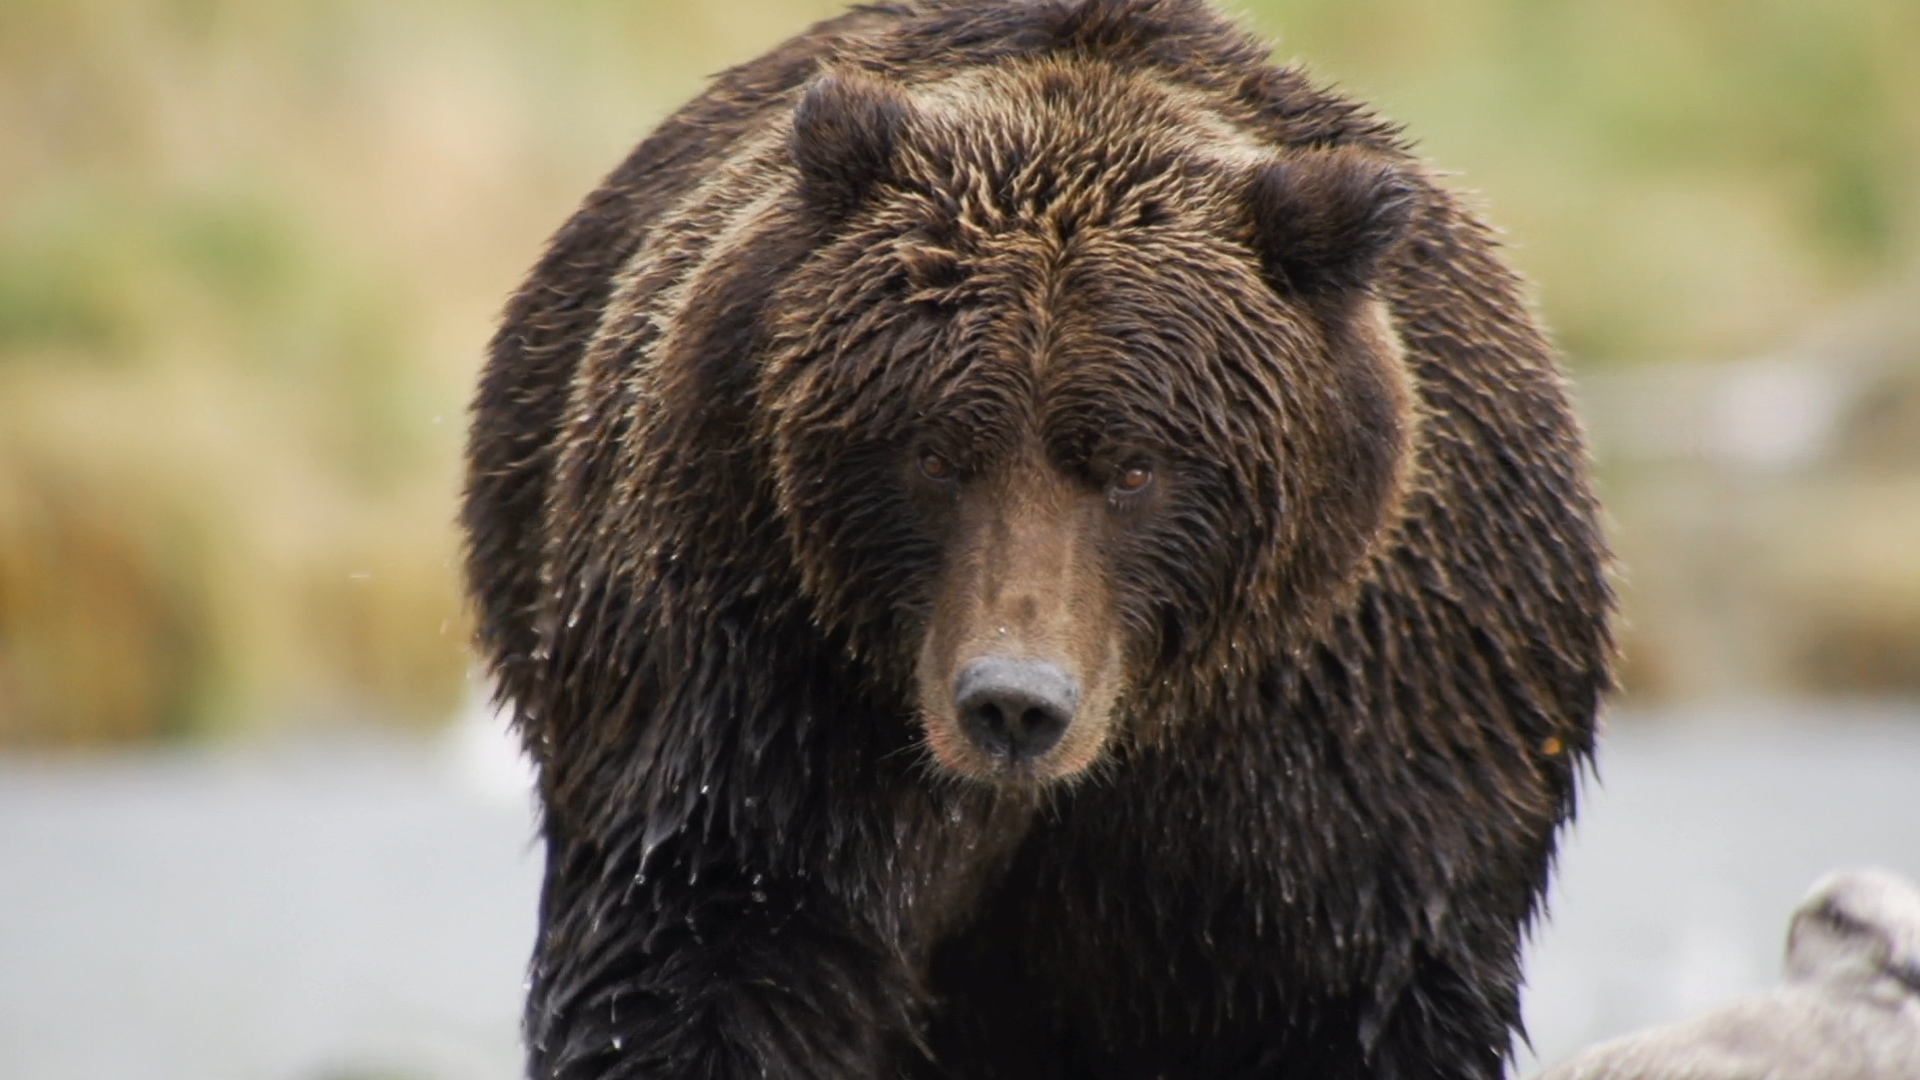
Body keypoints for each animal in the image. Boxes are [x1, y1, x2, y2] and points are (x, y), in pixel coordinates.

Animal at [468, 2, 1620, 1076]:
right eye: (934, 453)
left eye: (1135, 466)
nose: (1014, 703)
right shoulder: (756, 668)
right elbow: (709, 947)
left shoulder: (1361, 730)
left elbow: (1359, 990)